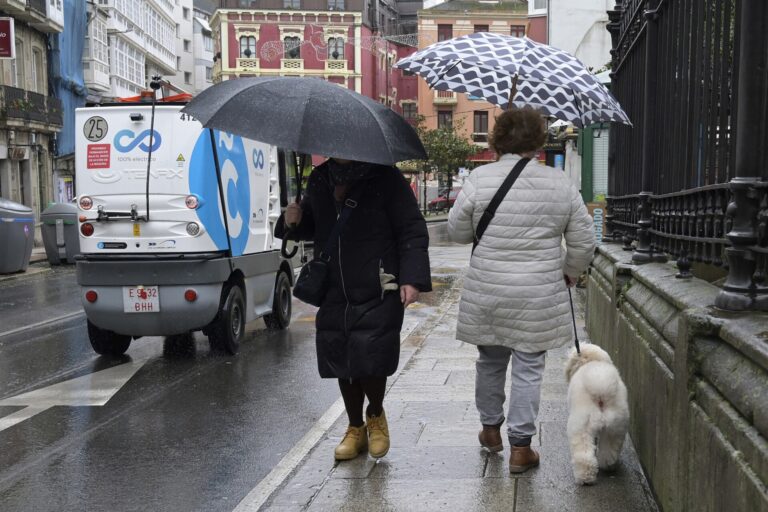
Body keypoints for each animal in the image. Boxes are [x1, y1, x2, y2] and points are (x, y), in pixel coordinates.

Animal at [564, 344, 632, 484]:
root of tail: (601, 389)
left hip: (582, 425)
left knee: (584, 454)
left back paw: (585, 478)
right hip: (615, 426)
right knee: (609, 450)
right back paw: (608, 466)